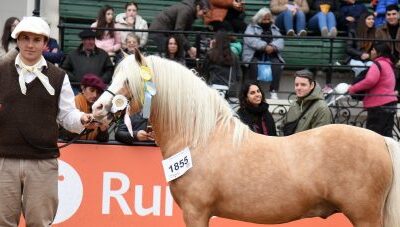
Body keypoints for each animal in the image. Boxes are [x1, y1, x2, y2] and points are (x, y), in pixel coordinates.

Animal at [93, 52, 400, 226]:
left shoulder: (196, 211)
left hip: (365, 216)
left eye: (128, 81)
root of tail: (381, 140)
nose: (97, 108)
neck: (199, 137)